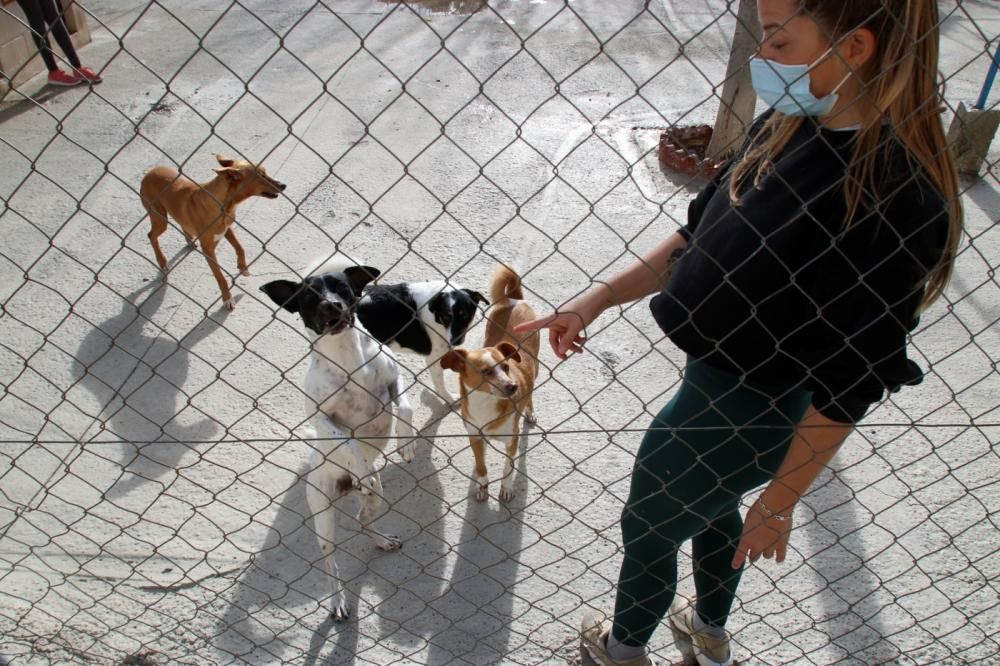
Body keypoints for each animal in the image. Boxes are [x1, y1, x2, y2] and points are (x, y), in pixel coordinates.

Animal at [139, 153, 286, 308]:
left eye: (265, 172)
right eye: (261, 176)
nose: (284, 185)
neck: (224, 205)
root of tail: (149, 173)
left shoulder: (227, 229)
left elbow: (240, 247)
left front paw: (243, 267)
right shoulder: (208, 249)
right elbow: (220, 277)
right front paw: (227, 298)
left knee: (181, 224)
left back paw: (189, 241)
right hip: (160, 219)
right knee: (151, 235)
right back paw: (162, 261)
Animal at [260, 256, 416, 620]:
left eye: (342, 288)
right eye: (308, 297)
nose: (331, 305)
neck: (347, 356)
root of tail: (346, 487)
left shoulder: (394, 378)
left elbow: (406, 407)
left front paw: (406, 444)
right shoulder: (320, 416)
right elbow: (345, 440)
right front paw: (362, 461)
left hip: (373, 500)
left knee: (363, 520)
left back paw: (381, 539)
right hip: (323, 516)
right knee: (330, 563)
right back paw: (337, 600)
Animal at [356, 278, 488, 402]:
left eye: (464, 315)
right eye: (446, 316)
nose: (455, 342)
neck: (435, 312)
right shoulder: (433, 358)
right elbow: (439, 383)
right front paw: (449, 399)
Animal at [440, 262, 540, 500]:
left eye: (505, 367)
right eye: (485, 371)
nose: (513, 387)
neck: (484, 402)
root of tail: (514, 298)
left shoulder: (512, 441)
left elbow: (508, 468)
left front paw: (506, 488)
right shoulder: (474, 437)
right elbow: (481, 465)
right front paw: (481, 486)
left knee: (531, 392)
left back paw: (529, 411)